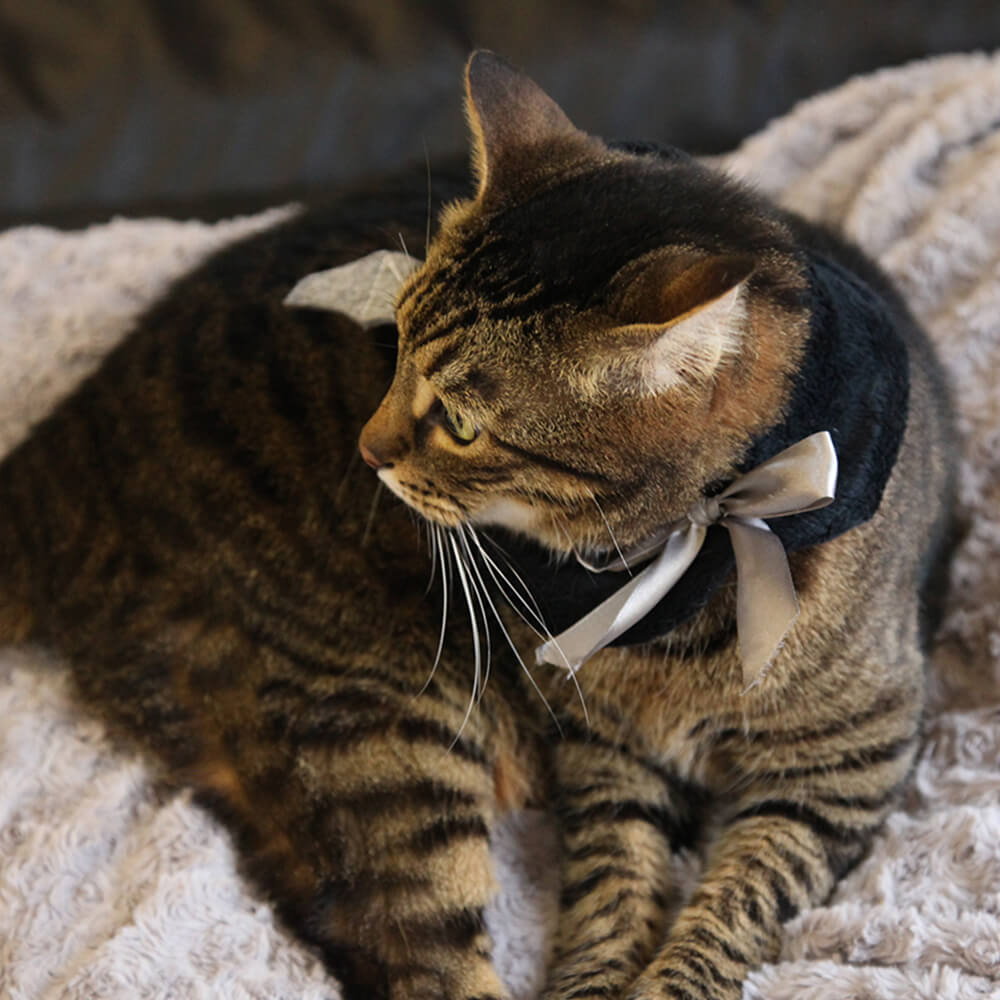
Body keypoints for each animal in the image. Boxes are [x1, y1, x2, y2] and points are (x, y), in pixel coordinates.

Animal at [0, 52, 952, 1000]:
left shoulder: (841, 769)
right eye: (391, 342)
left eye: (461, 424)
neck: (693, 559)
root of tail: (57, 453)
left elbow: (734, 907)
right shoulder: (603, 753)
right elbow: (612, 889)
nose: (366, 450)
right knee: (407, 947)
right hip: (378, 718)